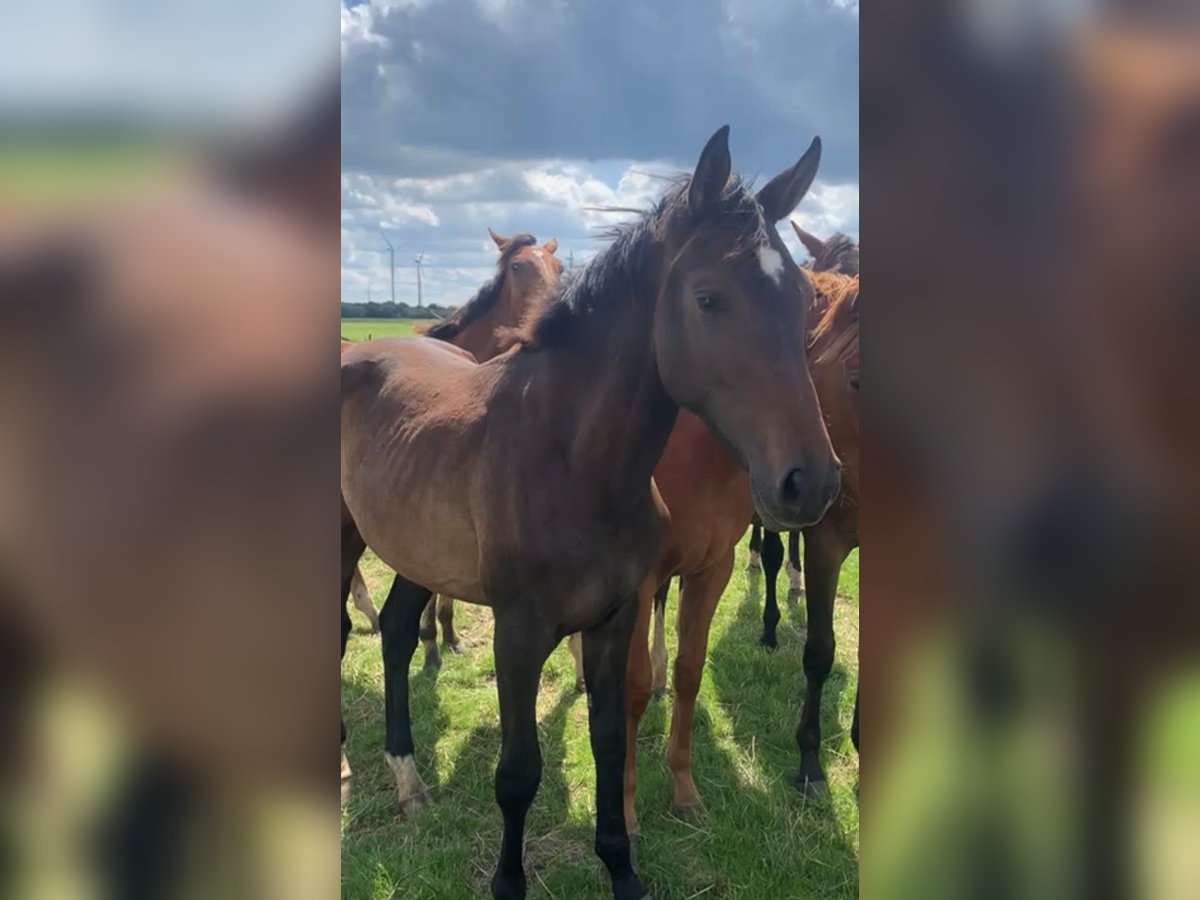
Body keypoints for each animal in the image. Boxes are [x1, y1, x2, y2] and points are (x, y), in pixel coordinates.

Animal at [343, 128, 840, 900]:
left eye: (805, 297)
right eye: (709, 298)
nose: (810, 482)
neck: (572, 461)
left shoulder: (616, 615)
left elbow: (610, 734)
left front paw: (622, 866)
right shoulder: (519, 633)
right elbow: (518, 771)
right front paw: (509, 884)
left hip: (416, 552)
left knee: (396, 631)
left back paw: (409, 781)